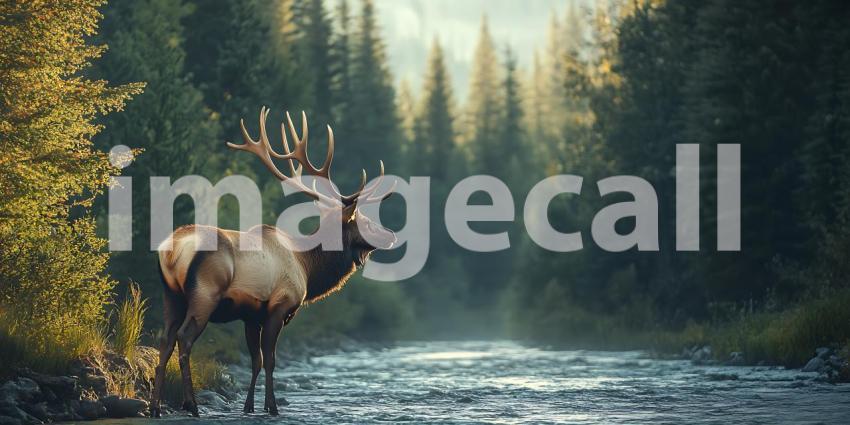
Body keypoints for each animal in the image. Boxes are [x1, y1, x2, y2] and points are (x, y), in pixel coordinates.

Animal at [150, 107, 397, 418]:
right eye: (364, 221)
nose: (391, 235)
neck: (307, 267)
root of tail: (171, 250)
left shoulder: (250, 315)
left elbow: (255, 361)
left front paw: (248, 406)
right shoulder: (280, 305)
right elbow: (270, 360)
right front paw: (272, 406)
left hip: (171, 294)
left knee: (164, 340)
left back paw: (155, 407)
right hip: (204, 293)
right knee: (184, 338)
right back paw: (191, 405)